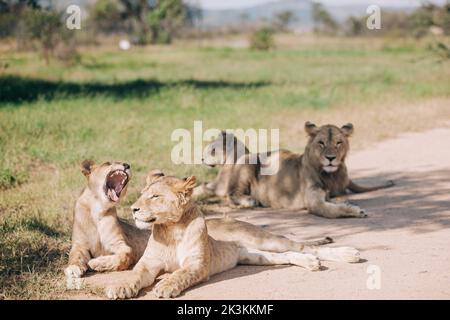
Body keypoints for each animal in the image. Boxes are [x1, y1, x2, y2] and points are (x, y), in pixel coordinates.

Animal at [66, 161, 334, 286]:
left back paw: (339, 254)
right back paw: (311, 263)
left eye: (154, 196)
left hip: (262, 239)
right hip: (253, 252)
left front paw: (98, 263)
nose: (126, 164)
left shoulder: (126, 248)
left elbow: (120, 257)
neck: (97, 211)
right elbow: (75, 258)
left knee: (305, 246)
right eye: (107, 163)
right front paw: (75, 269)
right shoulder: (78, 246)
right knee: (289, 254)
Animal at [103, 171, 360, 298]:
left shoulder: (197, 265)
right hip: (255, 256)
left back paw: (347, 254)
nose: (133, 209)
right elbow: (134, 275)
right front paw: (121, 288)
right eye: (142, 194)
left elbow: (180, 274)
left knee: (305, 246)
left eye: (155, 196)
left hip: (264, 239)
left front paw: (166, 286)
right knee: (288, 255)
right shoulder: (148, 264)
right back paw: (310, 262)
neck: (171, 229)